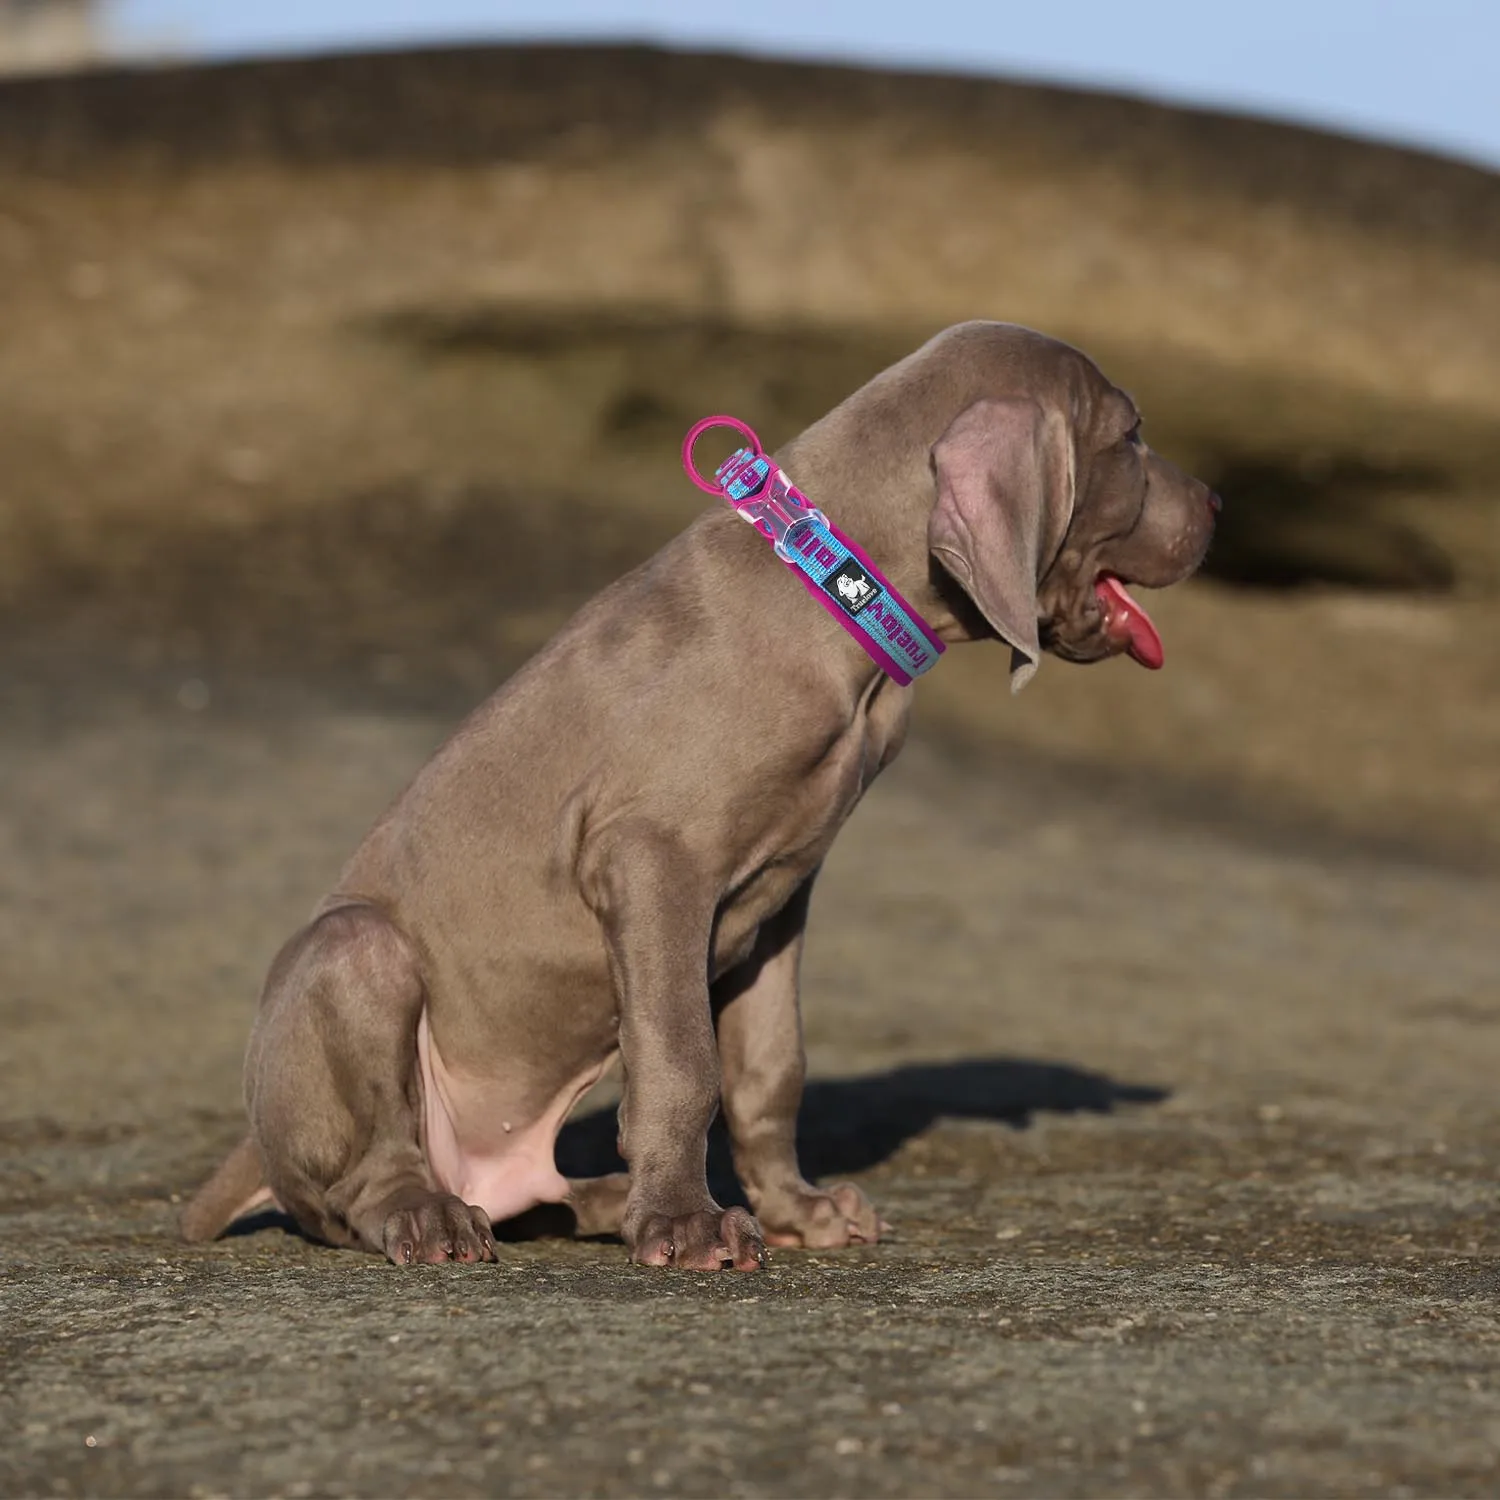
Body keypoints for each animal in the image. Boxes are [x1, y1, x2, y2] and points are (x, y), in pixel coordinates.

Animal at [187, 322, 1218, 1272]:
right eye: (1130, 436)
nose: (1216, 504)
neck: (831, 583)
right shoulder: (652, 858)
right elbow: (683, 1060)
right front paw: (685, 1225)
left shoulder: (782, 896)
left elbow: (768, 1067)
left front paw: (795, 1211)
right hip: (354, 954)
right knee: (359, 1182)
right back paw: (432, 1216)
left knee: (535, 1198)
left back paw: (604, 1198)